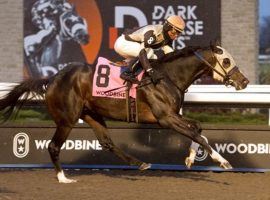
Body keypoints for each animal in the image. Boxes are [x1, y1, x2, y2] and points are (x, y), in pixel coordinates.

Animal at [0, 45, 249, 183]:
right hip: (67, 119)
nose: (244, 81)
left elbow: (198, 129)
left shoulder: (172, 115)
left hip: (92, 114)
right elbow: (196, 133)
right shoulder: (165, 118)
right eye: (227, 60)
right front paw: (223, 162)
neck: (167, 76)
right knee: (53, 146)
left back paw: (140, 163)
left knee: (107, 142)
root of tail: (52, 78)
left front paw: (190, 158)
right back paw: (63, 178)